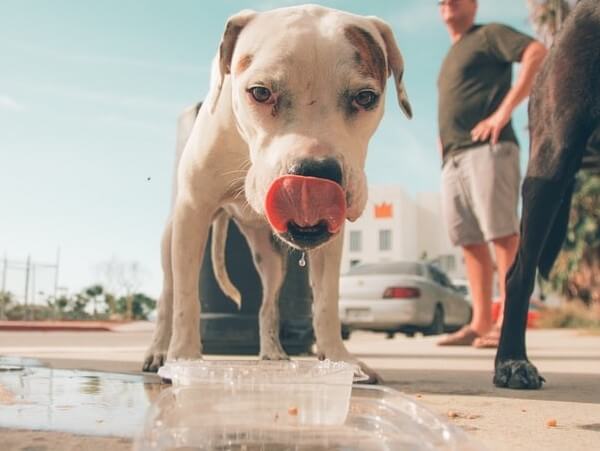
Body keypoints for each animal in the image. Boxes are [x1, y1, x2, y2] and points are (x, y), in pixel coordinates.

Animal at [142, 5, 410, 384]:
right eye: (260, 92)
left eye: (366, 97)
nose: (314, 175)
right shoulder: (193, 211)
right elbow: (186, 299)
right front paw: (184, 359)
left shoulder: (329, 243)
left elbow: (326, 302)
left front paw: (340, 360)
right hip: (173, 240)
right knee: (169, 296)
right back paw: (159, 351)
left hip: (270, 258)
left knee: (268, 304)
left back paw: (272, 352)